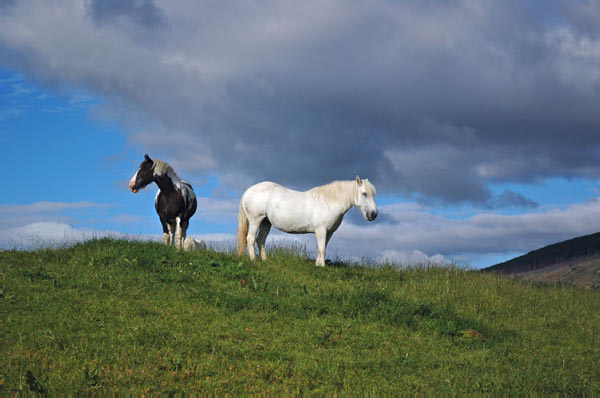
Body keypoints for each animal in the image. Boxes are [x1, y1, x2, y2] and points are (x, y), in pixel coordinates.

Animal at [237, 176, 378, 266]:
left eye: (373, 194)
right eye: (364, 193)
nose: (373, 214)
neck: (329, 202)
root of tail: (248, 191)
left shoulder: (329, 232)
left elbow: (323, 248)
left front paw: (318, 264)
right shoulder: (321, 230)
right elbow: (322, 248)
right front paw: (321, 266)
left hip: (266, 222)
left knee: (260, 240)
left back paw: (265, 260)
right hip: (255, 220)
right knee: (250, 239)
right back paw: (254, 260)